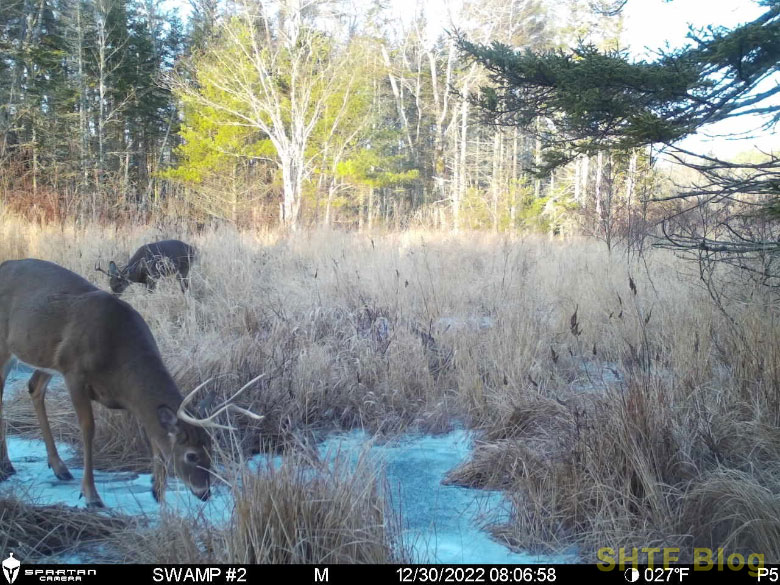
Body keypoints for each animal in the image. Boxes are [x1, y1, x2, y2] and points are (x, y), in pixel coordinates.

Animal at [0, 258, 262, 504]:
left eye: (210, 449)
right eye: (191, 455)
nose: (204, 493)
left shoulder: (130, 399)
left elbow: (151, 435)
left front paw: (158, 491)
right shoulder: (74, 373)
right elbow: (88, 429)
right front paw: (91, 494)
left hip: (46, 356)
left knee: (34, 387)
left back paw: (59, 468)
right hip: (14, 350)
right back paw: (7, 466)